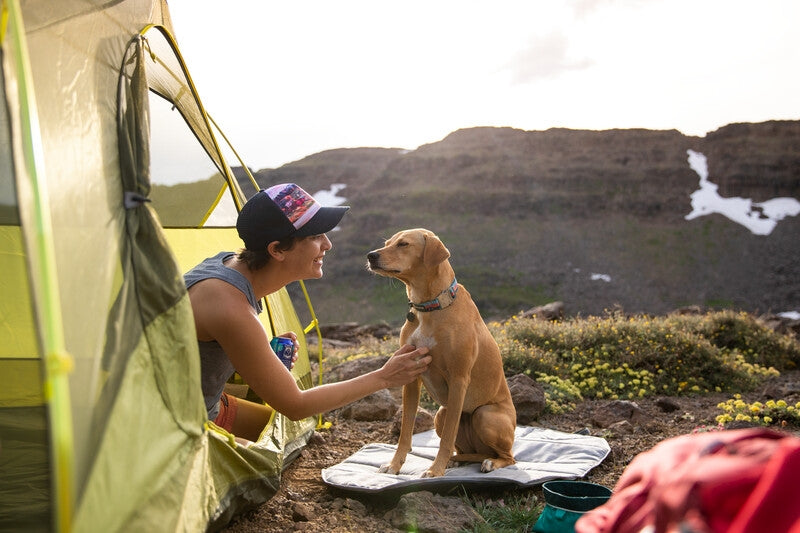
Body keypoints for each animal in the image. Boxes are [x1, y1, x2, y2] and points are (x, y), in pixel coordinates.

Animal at [366, 227, 516, 476]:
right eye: (387, 243)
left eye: (403, 244)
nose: (370, 256)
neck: (430, 307)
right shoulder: (411, 375)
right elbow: (405, 432)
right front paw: (395, 465)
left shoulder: (458, 379)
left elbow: (446, 438)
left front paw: (436, 470)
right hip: (441, 414)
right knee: (469, 449)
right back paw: (459, 460)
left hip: (484, 415)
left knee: (509, 457)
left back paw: (491, 463)